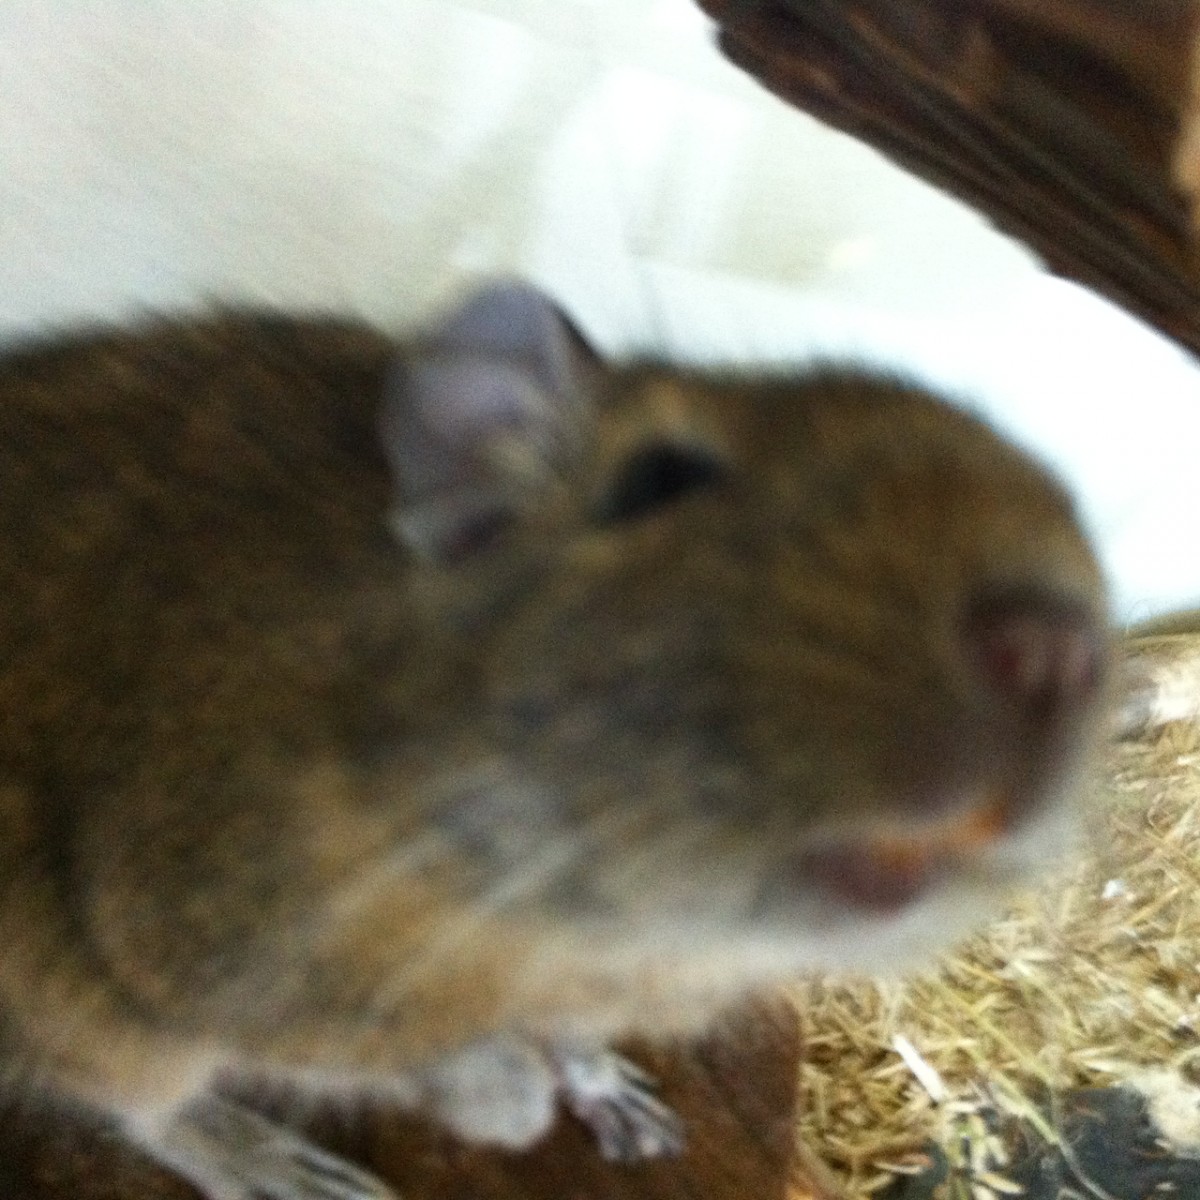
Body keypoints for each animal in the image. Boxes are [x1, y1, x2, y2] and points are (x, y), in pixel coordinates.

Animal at [0, 281, 1110, 1199]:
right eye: (657, 479)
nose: (1056, 650)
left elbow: (567, 1040)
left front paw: (629, 1111)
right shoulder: (188, 949)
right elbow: (410, 1053)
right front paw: (510, 1110)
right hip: (97, 1027)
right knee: (150, 1111)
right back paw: (299, 1176)